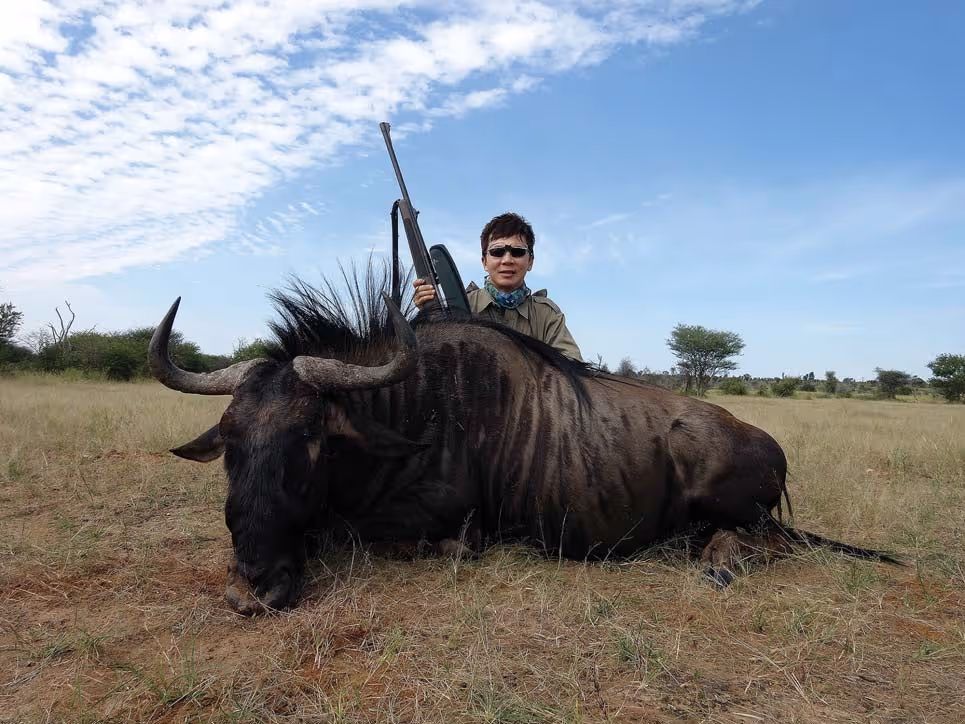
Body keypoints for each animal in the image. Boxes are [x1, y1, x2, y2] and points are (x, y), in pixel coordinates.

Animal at [149, 272, 897, 614]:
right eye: (231, 443)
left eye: (312, 442)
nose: (252, 591)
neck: (407, 407)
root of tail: (770, 448)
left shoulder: (446, 520)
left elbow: (382, 535)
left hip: (738, 504)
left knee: (764, 542)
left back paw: (715, 563)